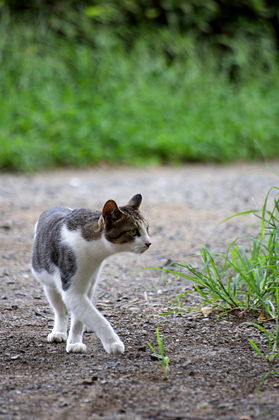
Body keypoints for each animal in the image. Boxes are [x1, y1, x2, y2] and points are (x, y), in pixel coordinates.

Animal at [31, 194, 152, 354]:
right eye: (133, 231)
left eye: (147, 229)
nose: (149, 243)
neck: (94, 249)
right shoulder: (72, 288)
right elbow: (95, 318)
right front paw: (112, 342)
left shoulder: (88, 283)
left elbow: (81, 317)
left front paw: (75, 341)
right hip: (49, 284)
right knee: (60, 310)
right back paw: (58, 332)